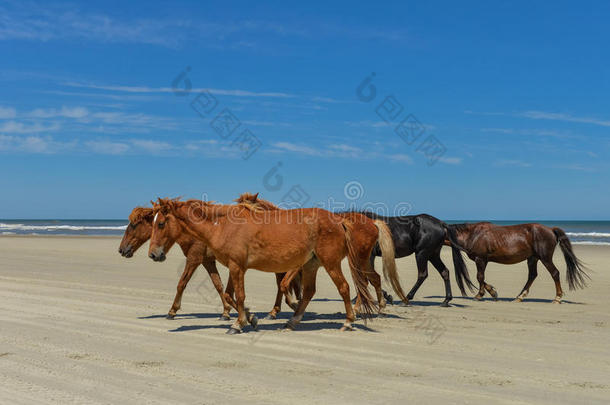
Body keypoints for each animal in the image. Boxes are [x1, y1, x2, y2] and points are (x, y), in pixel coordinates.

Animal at [145, 197, 396, 332]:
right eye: (153, 222)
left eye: (162, 223)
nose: (154, 254)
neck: (223, 225)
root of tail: (340, 220)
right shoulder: (233, 268)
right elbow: (228, 295)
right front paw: (250, 318)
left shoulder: (237, 267)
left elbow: (239, 295)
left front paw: (238, 324)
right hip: (311, 265)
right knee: (309, 292)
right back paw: (292, 321)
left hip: (330, 263)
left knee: (344, 288)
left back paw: (348, 322)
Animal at [444, 221, 588, 304]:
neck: (473, 234)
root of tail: (551, 229)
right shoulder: (483, 260)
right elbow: (482, 278)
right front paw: (492, 292)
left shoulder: (481, 259)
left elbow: (479, 277)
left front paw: (480, 295)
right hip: (533, 258)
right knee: (532, 275)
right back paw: (519, 296)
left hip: (545, 258)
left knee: (554, 273)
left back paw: (557, 298)